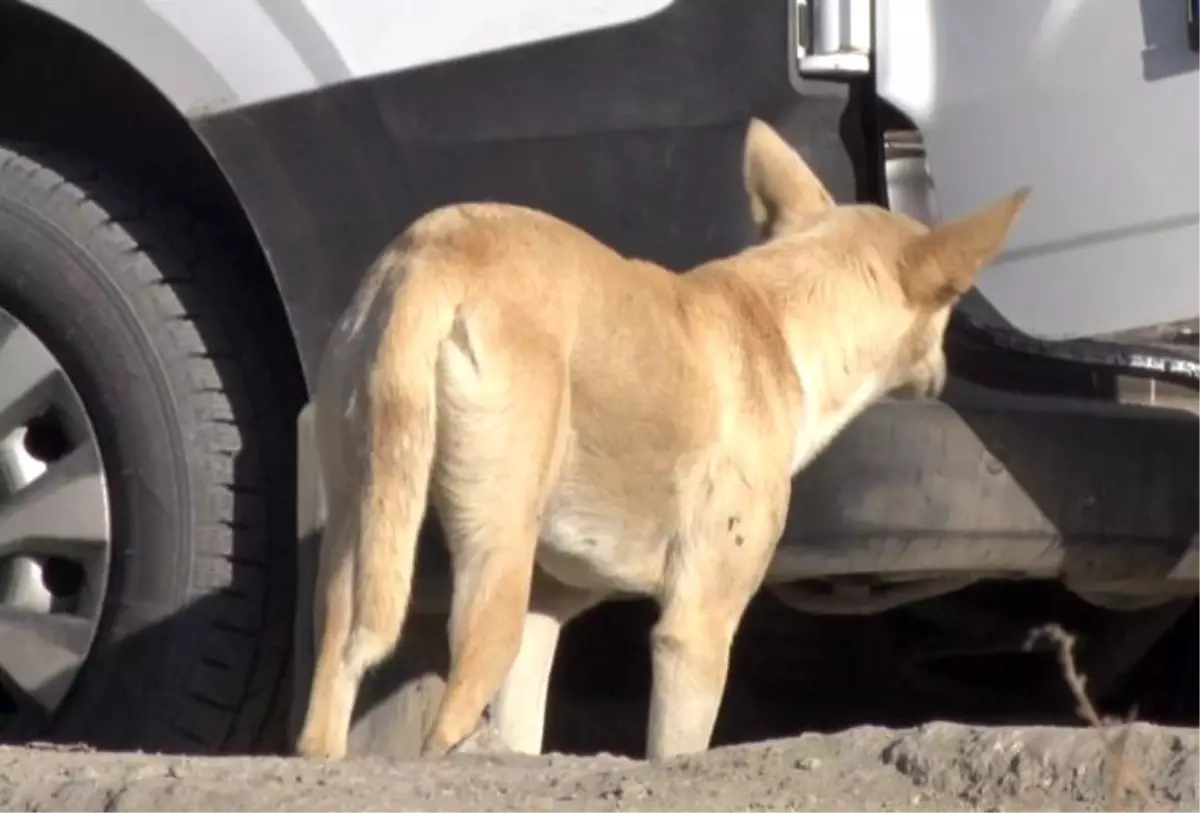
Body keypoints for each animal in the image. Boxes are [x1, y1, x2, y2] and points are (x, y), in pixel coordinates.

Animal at [292, 116, 1032, 762]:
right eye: (952, 303)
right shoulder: (694, 632)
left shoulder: (544, 614)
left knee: (328, 695)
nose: (944, 374)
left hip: (357, 546)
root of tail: (433, 254)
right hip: (491, 570)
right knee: (442, 726)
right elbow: (675, 746)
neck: (776, 322)